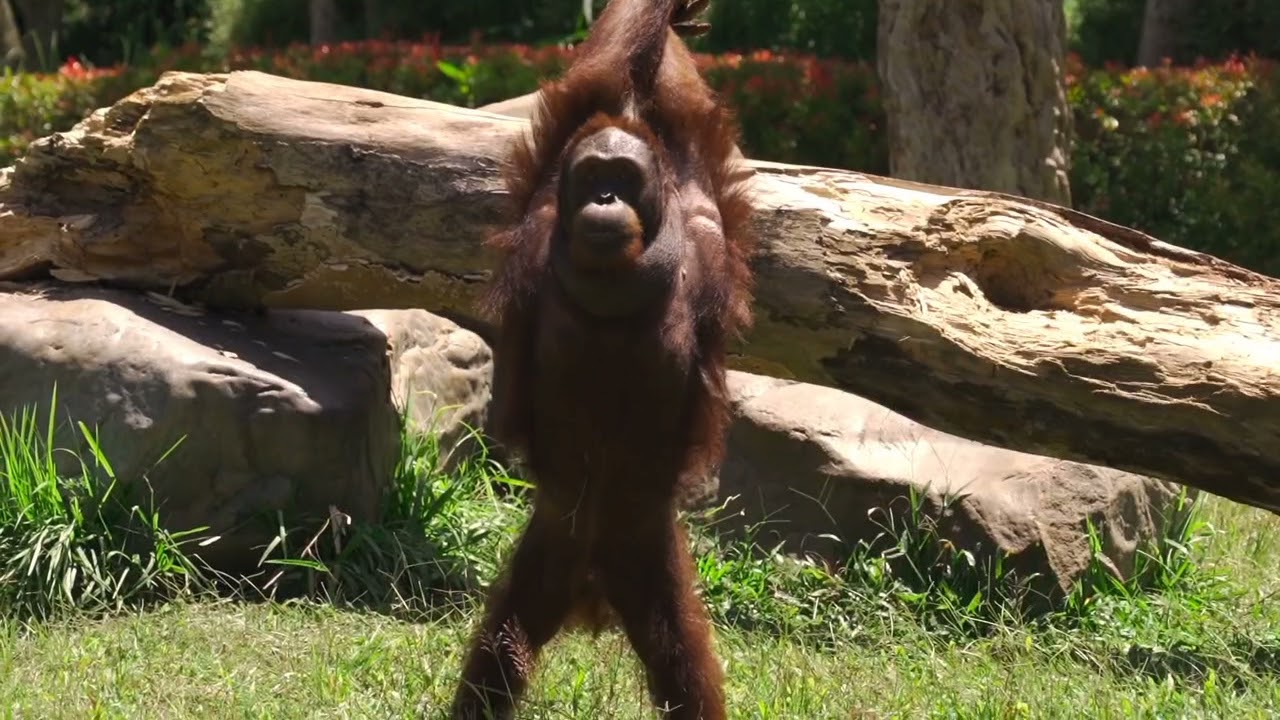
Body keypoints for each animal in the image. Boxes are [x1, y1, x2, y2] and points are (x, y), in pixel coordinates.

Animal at [449, 1, 754, 718]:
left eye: (623, 179)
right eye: (592, 177)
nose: (605, 200)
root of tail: (594, 580)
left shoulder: (701, 222)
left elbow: (673, 108)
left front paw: (679, 20)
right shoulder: (541, 207)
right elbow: (602, 73)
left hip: (646, 548)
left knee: (680, 657)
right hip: (554, 539)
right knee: (503, 642)